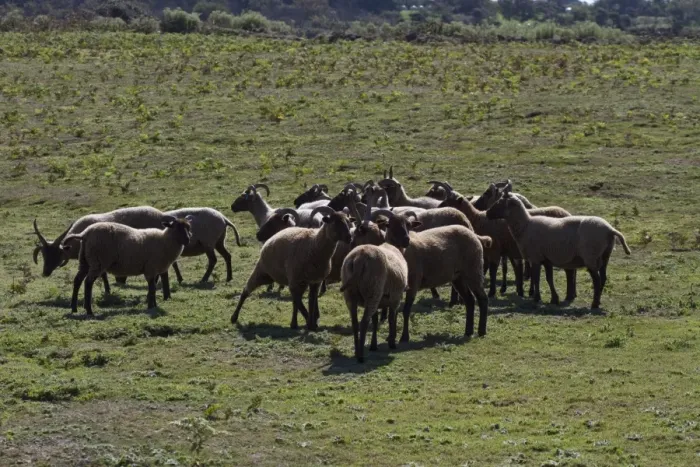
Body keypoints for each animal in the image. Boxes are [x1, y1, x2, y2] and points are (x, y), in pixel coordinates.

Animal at [32, 207, 182, 294]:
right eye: (44, 255)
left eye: (57, 255)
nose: (45, 273)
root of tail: (162, 216)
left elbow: (103, 274)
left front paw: (107, 289)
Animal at [61, 217, 192, 315]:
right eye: (176, 228)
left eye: (188, 228)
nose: (188, 240)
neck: (164, 241)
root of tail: (85, 234)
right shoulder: (151, 268)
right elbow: (152, 288)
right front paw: (150, 306)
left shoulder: (153, 269)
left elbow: (153, 288)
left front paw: (153, 304)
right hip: (97, 261)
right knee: (88, 282)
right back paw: (89, 310)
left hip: (85, 261)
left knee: (77, 280)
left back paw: (74, 308)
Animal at [353, 208, 492, 342]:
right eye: (389, 225)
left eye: (408, 225)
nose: (406, 240)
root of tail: (473, 234)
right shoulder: (397, 289)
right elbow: (395, 312)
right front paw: (391, 337)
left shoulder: (414, 283)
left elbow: (406, 310)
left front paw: (404, 337)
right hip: (458, 277)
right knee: (470, 301)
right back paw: (468, 332)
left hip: (473, 270)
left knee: (482, 298)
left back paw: (481, 331)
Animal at [486, 191, 631, 309]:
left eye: (499, 202)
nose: (487, 213)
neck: (525, 225)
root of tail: (610, 229)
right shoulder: (546, 259)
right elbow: (549, 278)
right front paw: (554, 299)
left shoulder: (535, 257)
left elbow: (537, 278)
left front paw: (536, 298)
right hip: (605, 256)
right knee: (603, 278)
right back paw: (598, 300)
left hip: (591, 256)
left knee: (597, 279)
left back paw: (594, 304)